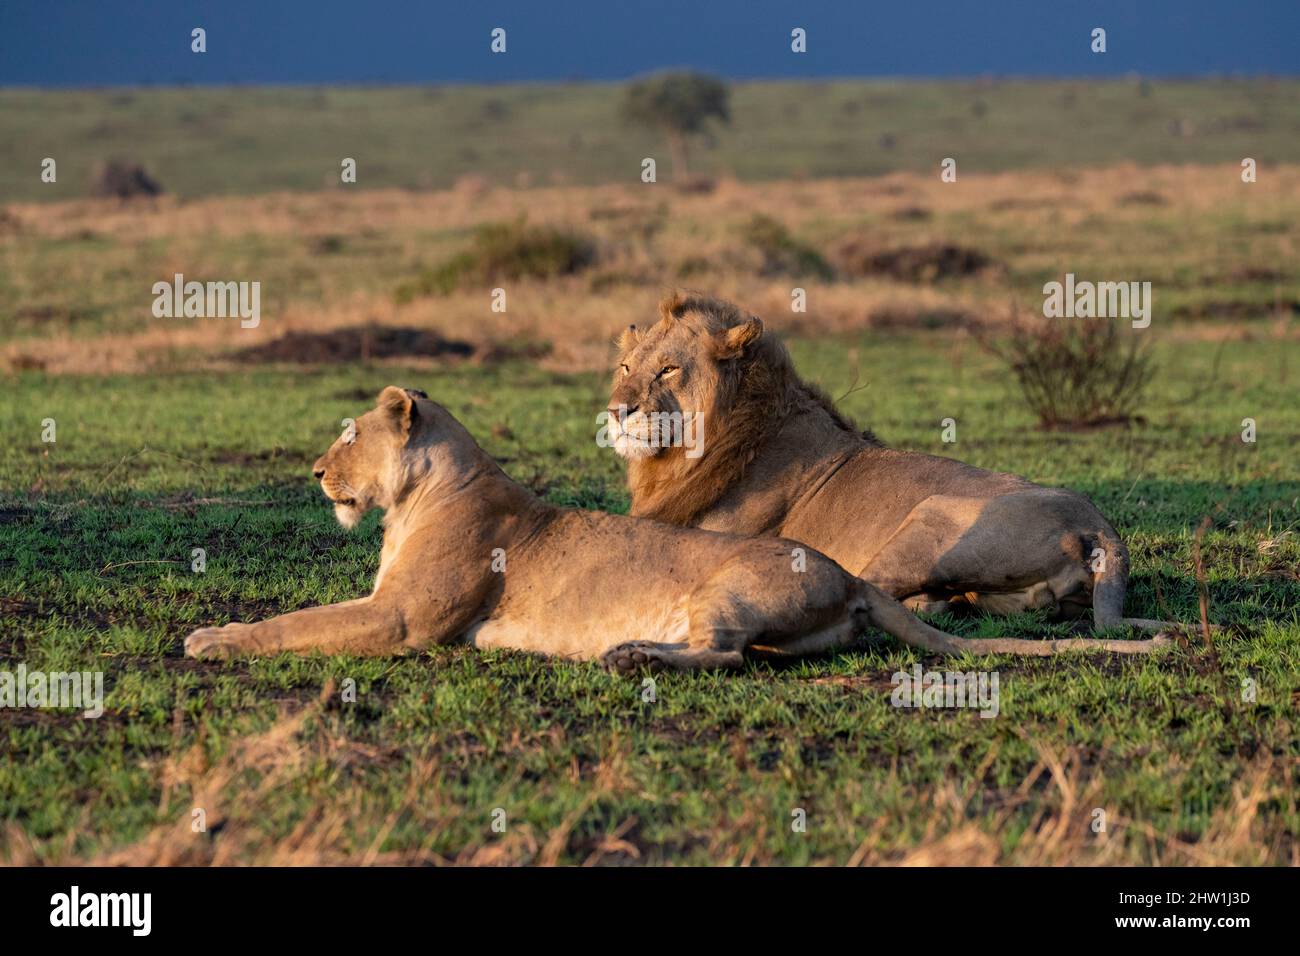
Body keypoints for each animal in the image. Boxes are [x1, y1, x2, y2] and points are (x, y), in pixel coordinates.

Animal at [184, 387, 1165, 668]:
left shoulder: (402, 622)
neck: (423, 493)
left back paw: (632, 657)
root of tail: (850, 577)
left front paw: (212, 637)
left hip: (727, 587)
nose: (316, 474)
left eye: (349, 435)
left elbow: (299, 624)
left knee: (725, 654)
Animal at [605, 292, 1177, 653]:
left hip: (930, 517)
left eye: (668, 369)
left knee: (869, 592)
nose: (616, 411)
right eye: (627, 368)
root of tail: (1099, 525)